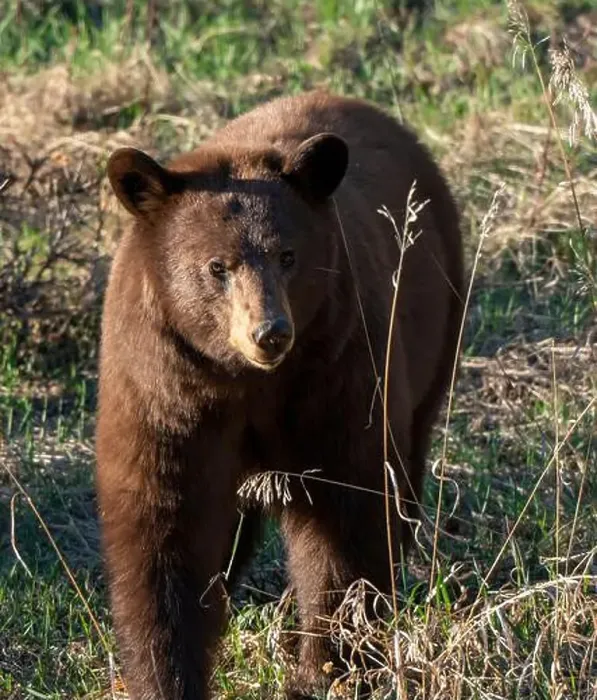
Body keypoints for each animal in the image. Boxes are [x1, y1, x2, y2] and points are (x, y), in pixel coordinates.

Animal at [96, 89, 464, 700]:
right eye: (216, 267)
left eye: (288, 256)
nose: (270, 333)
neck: (244, 381)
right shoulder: (164, 392)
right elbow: (163, 533)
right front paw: (166, 675)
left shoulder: (336, 374)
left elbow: (347, 518)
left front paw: (326, 667)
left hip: (435, 332)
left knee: (406, 469)